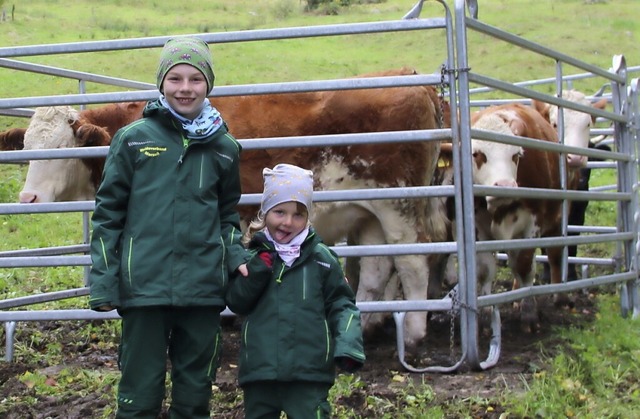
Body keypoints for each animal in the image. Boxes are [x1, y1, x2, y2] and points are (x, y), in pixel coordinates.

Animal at [2, 67, 448, 352]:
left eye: (63, 148)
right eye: (28, 149)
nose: (28, 199)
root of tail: (412, 80)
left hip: (399, 204)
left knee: (413, 260)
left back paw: (413, 333)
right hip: (368, 212)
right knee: (377, 267)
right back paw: (370, 325)